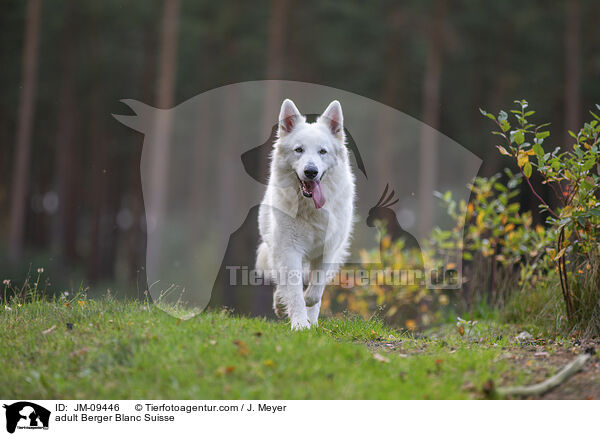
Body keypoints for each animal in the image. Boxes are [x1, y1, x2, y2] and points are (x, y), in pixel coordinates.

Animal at [254, 99, 354, 330]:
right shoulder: (288, 250)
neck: (310, 208)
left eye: (322, 152)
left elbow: (315, 291)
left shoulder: (327, 251)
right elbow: (293, 290)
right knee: (281, 281)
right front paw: (299, 324)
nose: (311, 171)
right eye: (299, 150)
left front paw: (308, 311)